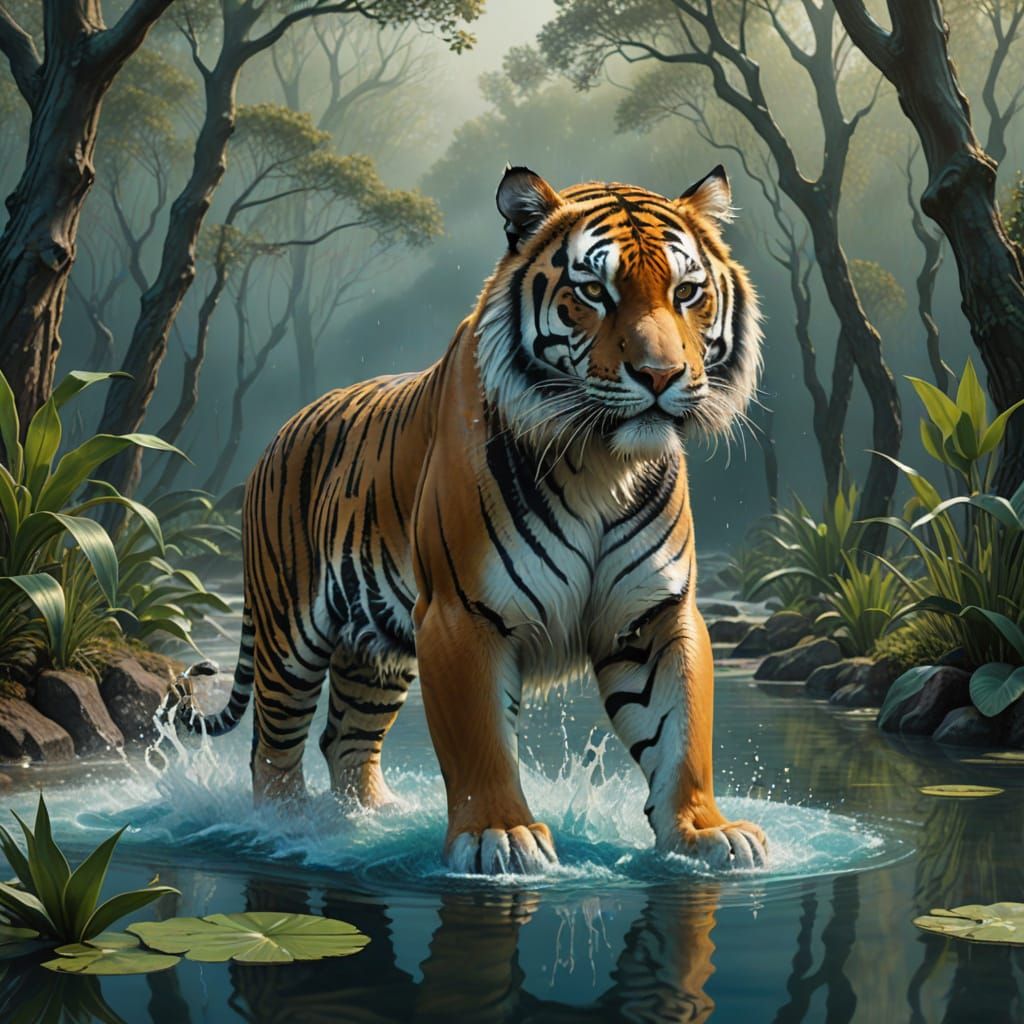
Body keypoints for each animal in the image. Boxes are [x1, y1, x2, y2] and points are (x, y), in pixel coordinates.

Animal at [179, 164, 766, 875]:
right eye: (593, 292)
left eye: (687, 292)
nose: (661, 375)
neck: (602, 463)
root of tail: (280, 433)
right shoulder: (463, 615)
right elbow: (479, 742)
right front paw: (501, 837)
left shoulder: (653, 614)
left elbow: (682, 733)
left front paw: (705, 834)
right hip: (287, 634)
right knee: (272, 746)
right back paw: (285, 828)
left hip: (373, 654)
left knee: (345, 740)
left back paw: (366, 822)